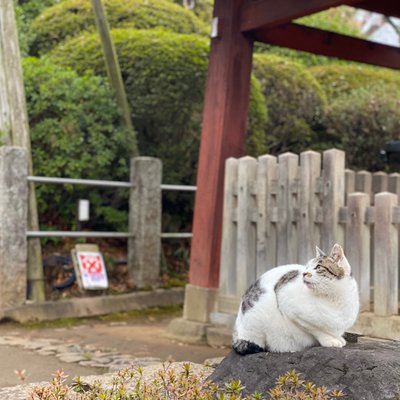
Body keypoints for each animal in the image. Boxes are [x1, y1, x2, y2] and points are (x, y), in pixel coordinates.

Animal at [231, 244, 360, 354]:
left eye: (318, 267)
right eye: (307, 267)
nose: (304, 273)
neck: (333, 297)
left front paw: (338, 338)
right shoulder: (289, 305)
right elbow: (316, 329)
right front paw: (330, 340)